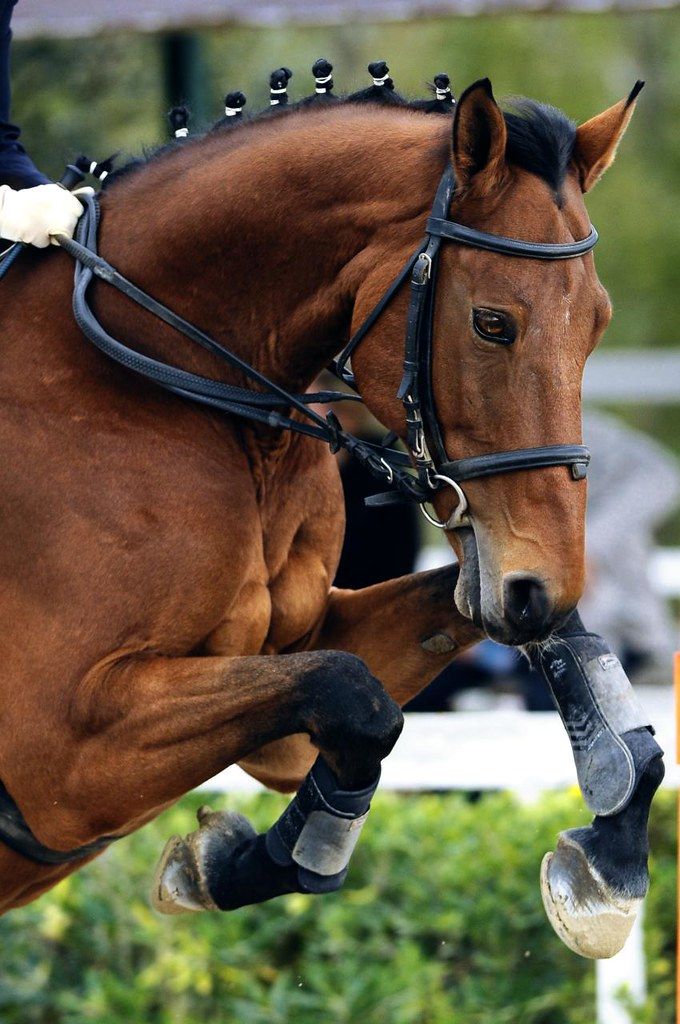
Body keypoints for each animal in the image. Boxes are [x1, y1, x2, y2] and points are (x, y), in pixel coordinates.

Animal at [0, 75, 659, 954]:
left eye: (598, 323)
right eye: (492, 323)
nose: (538, 584)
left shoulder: (296, 675)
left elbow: (417, 657)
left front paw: (614, 849)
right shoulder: (67, 758)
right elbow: (354, 695)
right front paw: (233, 863)